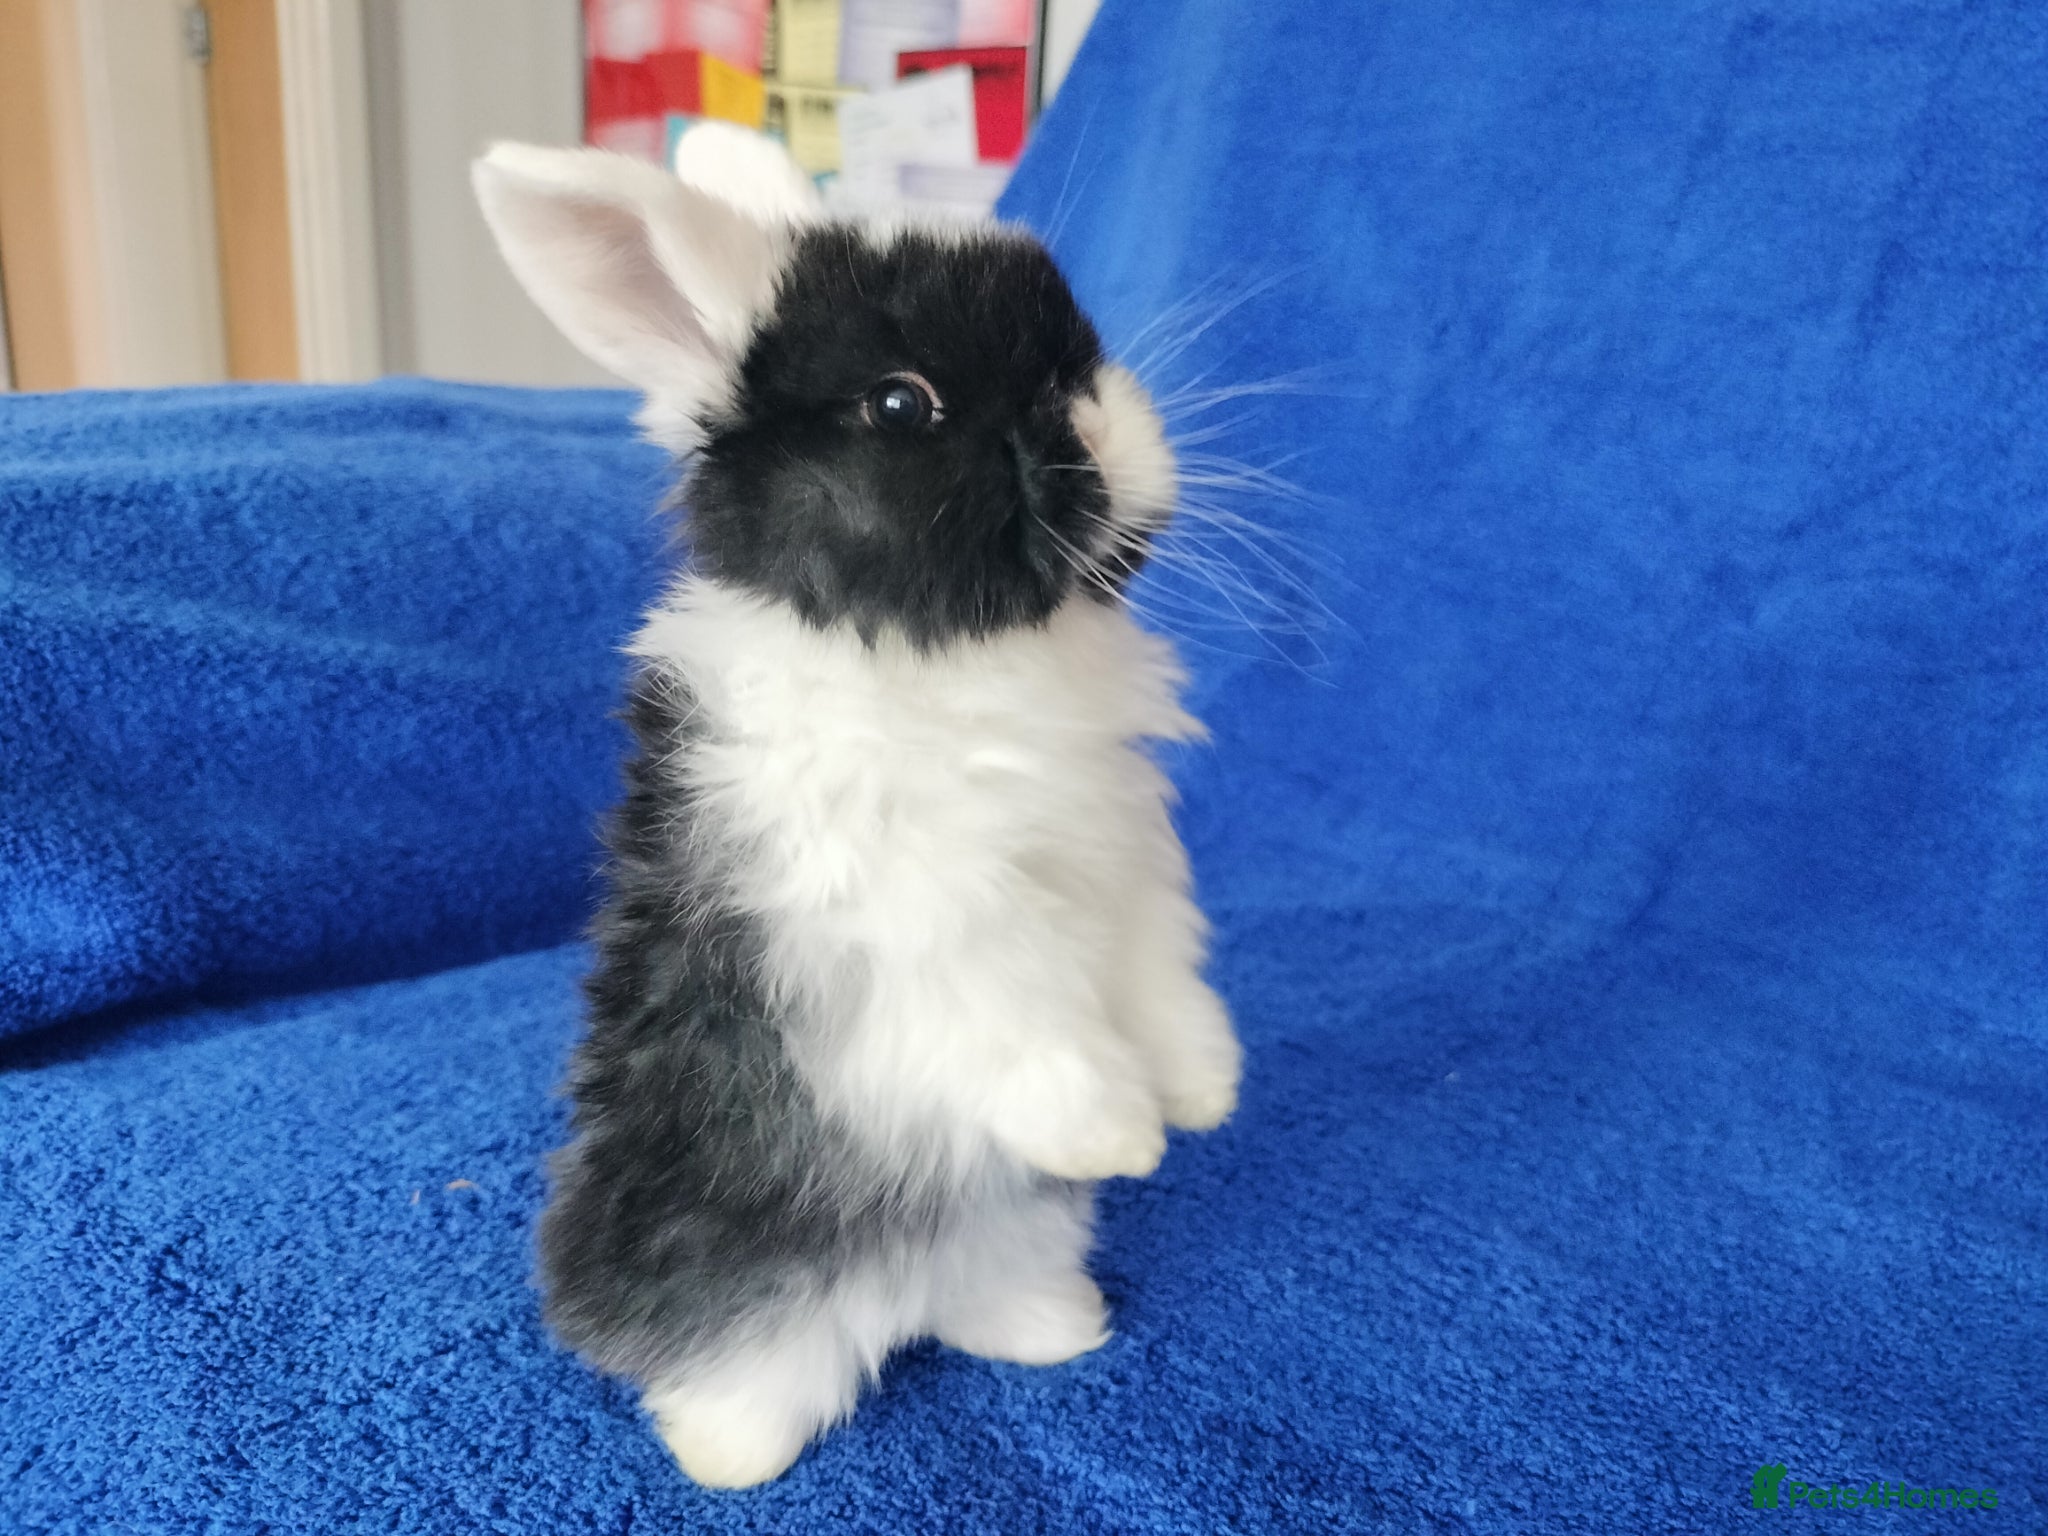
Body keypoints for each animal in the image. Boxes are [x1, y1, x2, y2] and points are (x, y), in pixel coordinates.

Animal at [473, 126, 1242, 1489]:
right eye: (900, 405)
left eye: (1079, 353)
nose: (1103, 432)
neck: (937, 651)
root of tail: (893, 1303)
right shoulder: (907, 910)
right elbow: (1020, 1018)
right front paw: (1121, 1137)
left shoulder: (1127, 867)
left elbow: (1160, 987)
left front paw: (1203, 1097)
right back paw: (724, 1452)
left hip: (1006, 1243)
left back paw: (1056, 1332)